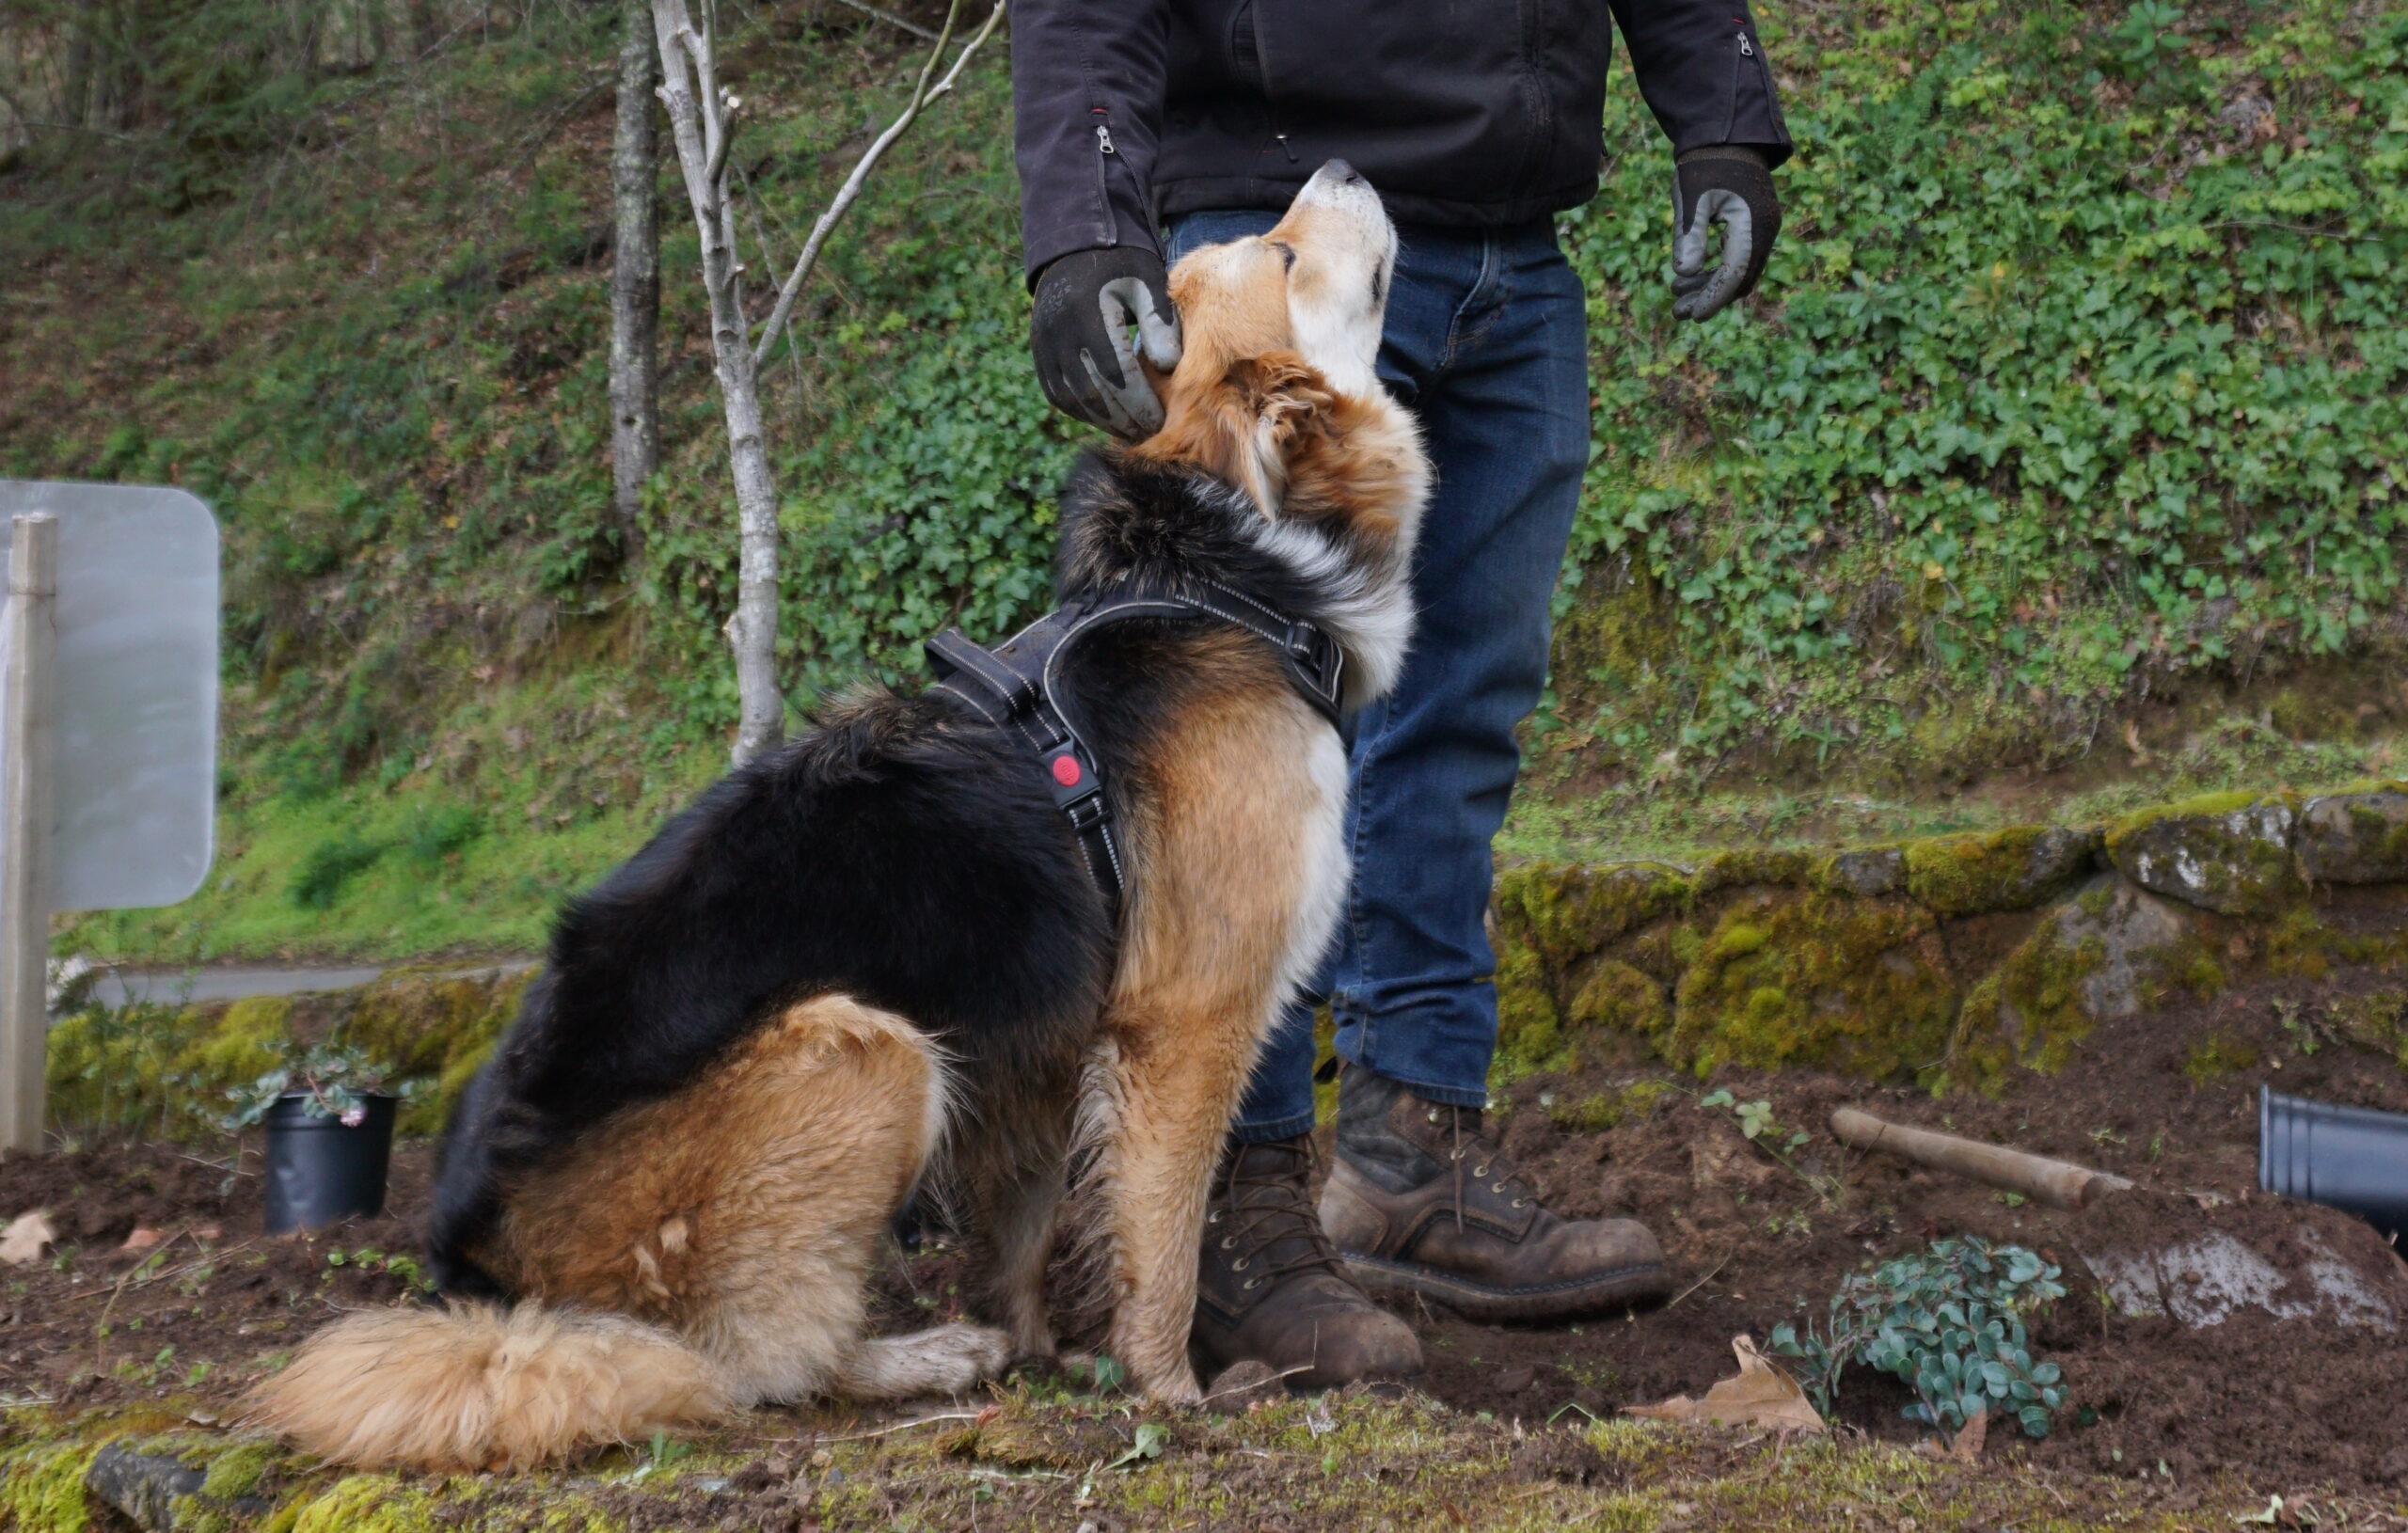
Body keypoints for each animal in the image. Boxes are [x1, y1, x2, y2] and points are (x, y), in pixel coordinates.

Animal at [248, 161, 1425, 1462]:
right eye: (1281, 256)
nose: (1343, 169)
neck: (1214, 576)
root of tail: (486, 1287)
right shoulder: (1184, 1022)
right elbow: (1159, 1240)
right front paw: (1171, 1393)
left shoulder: (1036, 1039)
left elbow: (1020, 1223)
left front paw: (1044, 1354)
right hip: (866, 1050)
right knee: (754, 1361)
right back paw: (919, 1358)